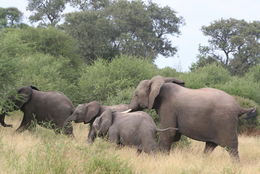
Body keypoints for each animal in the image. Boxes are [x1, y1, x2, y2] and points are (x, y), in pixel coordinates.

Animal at [125, 75, 256, 160]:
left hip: (225, 122)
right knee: (210, 145)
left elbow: (169, 134)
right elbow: (175, 136)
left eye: (136, 94)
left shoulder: (168, 108)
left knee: (231, 148)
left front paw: (161, 159)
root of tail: (239, 107)